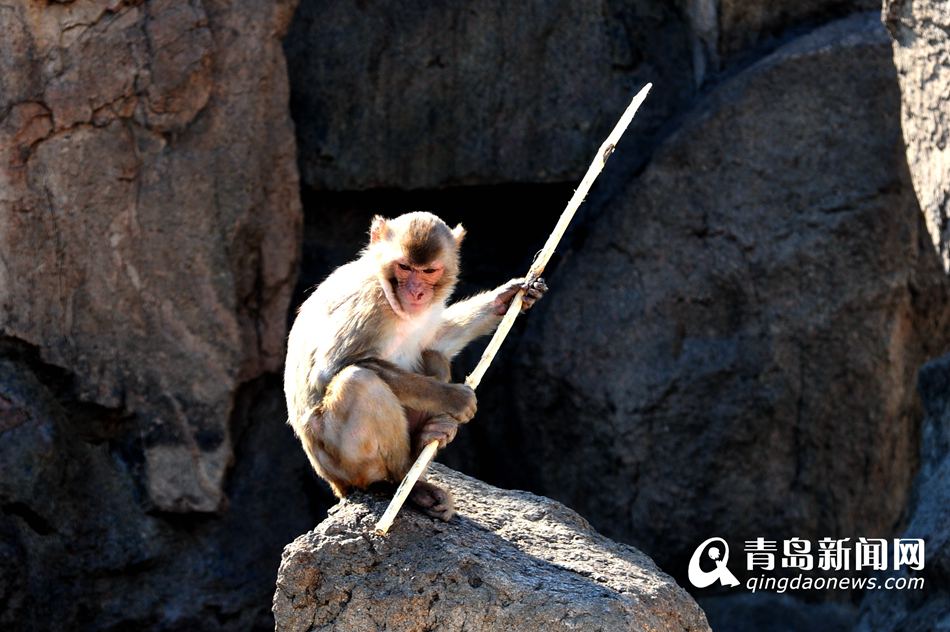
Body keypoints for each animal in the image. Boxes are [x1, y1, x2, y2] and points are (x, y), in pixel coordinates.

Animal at [286, 212, 548, 520]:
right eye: (405, 267)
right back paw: (405, 481)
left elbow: (436, 339)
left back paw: (430, 435)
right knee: (358, 382)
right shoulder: (367, 304)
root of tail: (334, 483)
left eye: (428, 271)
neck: (390, 297)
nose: (416, 292)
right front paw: (453, 398)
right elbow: (331, 369)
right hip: (341, 463)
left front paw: (506, 298)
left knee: (432, 354)